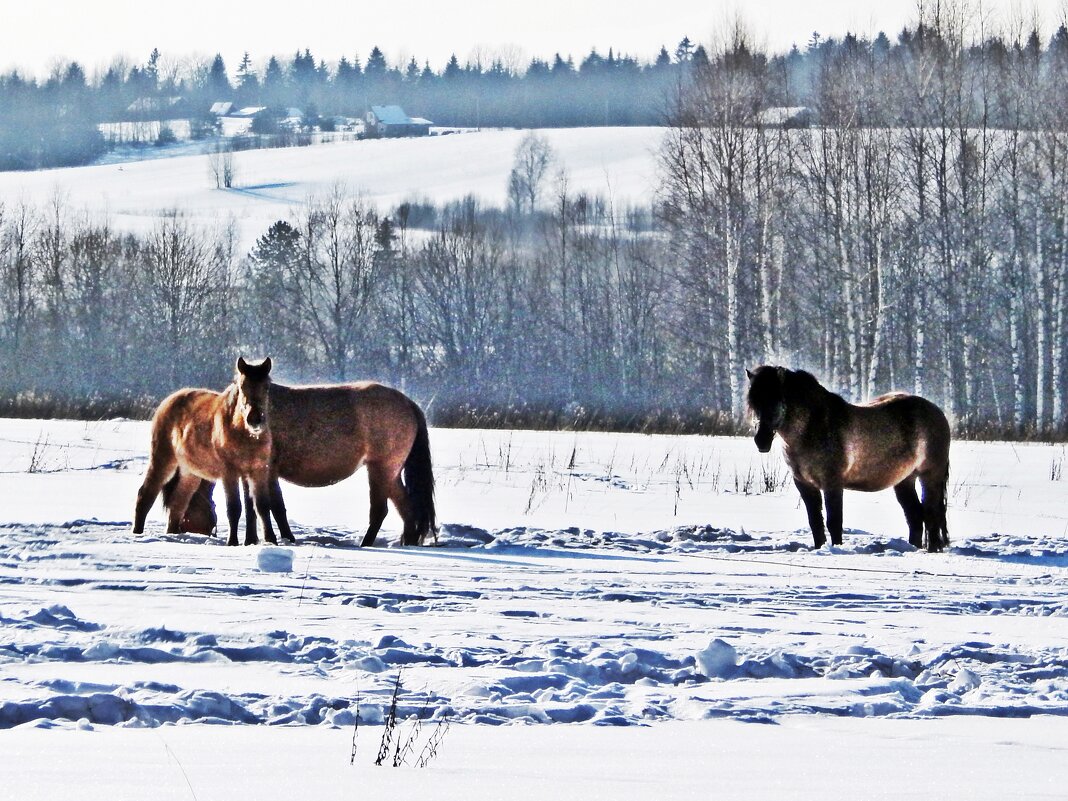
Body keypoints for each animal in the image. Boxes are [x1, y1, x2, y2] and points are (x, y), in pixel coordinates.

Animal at [132, 360, 279, 551]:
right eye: (242, 386)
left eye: (267, 387)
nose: (254, 419)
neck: (244, 435)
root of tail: (167, 402)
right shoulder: (229, 473)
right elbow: (234, 508)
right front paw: (232, 542)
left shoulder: (258, 471)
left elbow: (262, 506)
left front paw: (271, 541)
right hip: (162, 461)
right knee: (145, 495)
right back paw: (137, 534)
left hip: (190, 473)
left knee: (177, 504)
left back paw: (173, 536)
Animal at [163, 380, 437, 546]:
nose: (176, 528)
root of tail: (409, 404)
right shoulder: (256, 472)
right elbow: (263, 507)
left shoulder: (265, 470)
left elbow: (272, 507)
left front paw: (281, 538)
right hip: (390, 471)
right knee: (407, 508)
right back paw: (408, 541)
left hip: (381, 469)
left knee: (381, 510)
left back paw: (367, 543)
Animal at [747, 369, 948, 551]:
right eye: (754, 405)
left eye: (775, 402)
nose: (761, 441)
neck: (813, 427)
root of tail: (937, 412)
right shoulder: (804, 484)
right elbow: (815, 522)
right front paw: (820, 548)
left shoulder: (832, 483)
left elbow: (834, 521)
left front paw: (836, 548)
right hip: (905, 480)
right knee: (915, 517)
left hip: (930, 476)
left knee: (931, 514)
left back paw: (932, 550)